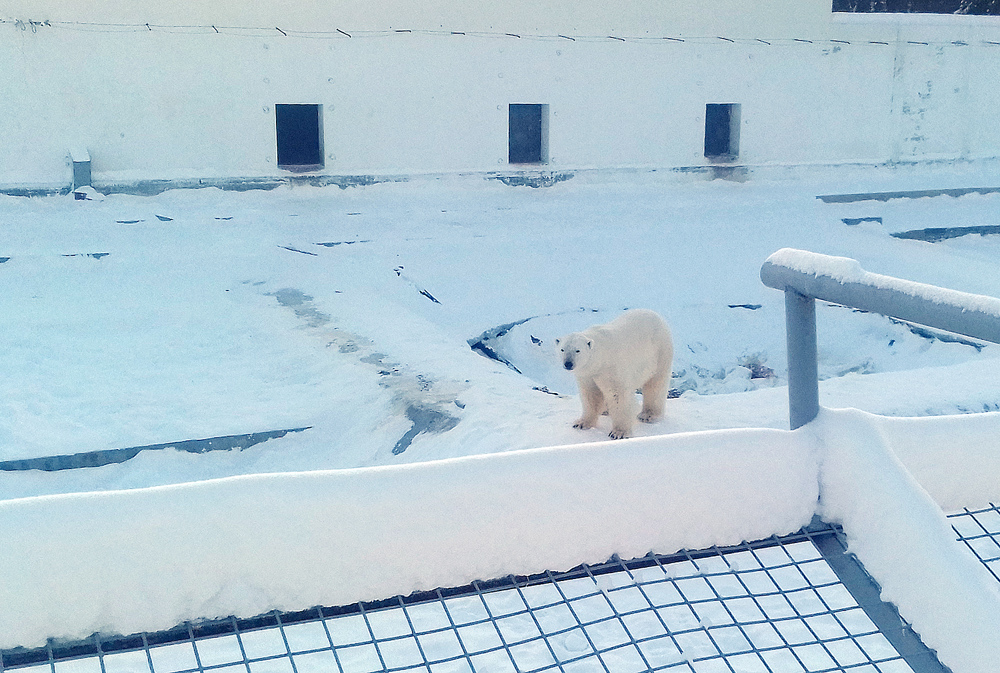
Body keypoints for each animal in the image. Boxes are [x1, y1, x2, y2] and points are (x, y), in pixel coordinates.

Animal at [555, 309, 673, 440]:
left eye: (577, 350)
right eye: (562, 349)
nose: (568, 363)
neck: (601, 358)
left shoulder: (611, 369)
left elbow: (617, 395)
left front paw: (618, 433)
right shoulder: (588, 375)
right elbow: (590, 395)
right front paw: (581, 423)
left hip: (660, 352)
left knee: (655, 384)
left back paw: (648, 415)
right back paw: (605, 410)